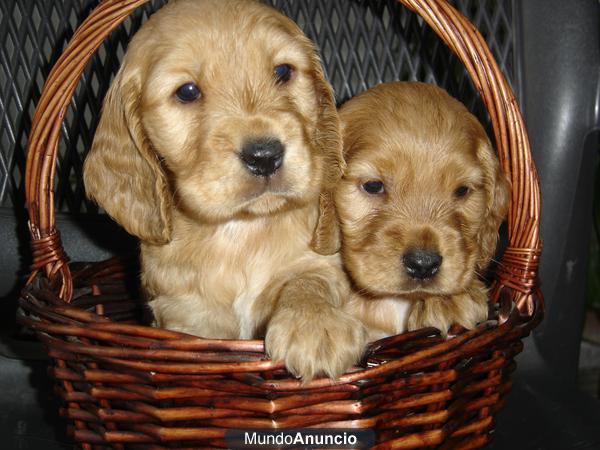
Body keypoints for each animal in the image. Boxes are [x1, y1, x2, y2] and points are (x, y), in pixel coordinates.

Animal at [81, 0, 364, 380]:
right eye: (187, 92)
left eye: (283, 72)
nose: (264, 156)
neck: (242, 231)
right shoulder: (183, 313)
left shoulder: (320, 262)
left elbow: (308, 280)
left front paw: (316, 326)